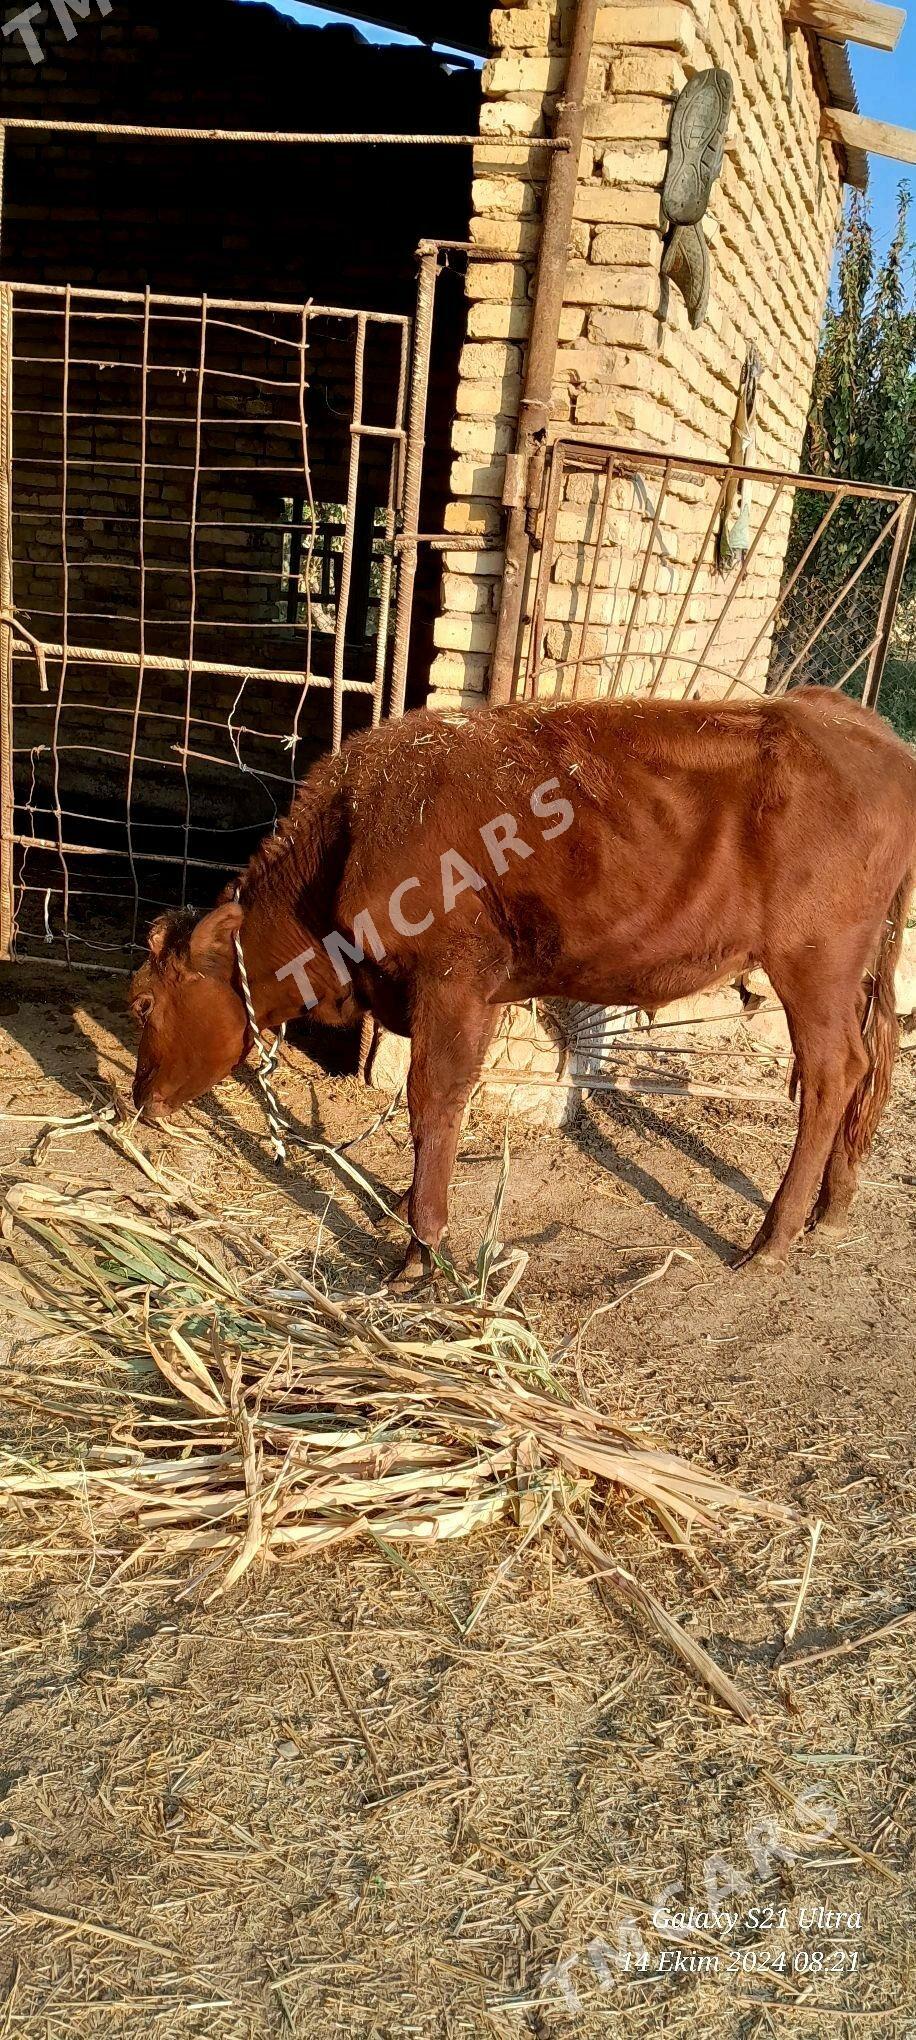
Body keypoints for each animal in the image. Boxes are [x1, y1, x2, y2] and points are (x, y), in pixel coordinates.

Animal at [130, 701, 913, 1272]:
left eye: (141, 1004)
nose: (137, 1100)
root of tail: (859, 724)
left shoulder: (451, 983)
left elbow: (432, 1103)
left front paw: (420, 1250)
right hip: (850, 971)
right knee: (867, 1062)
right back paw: (832, 1206)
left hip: (813, 961)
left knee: (832, 1072)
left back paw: (772, 1240)